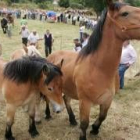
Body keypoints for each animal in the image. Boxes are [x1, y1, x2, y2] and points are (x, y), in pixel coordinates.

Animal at [47, 1, 140, 140]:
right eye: (125, 13)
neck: (99, 69)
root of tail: (51, 56)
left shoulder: (107, 100)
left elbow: (102, 117)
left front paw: (95, 129)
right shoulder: (85, 102)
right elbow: (84, 123)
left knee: (66, 100)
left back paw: (72, 120)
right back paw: (48, 115)